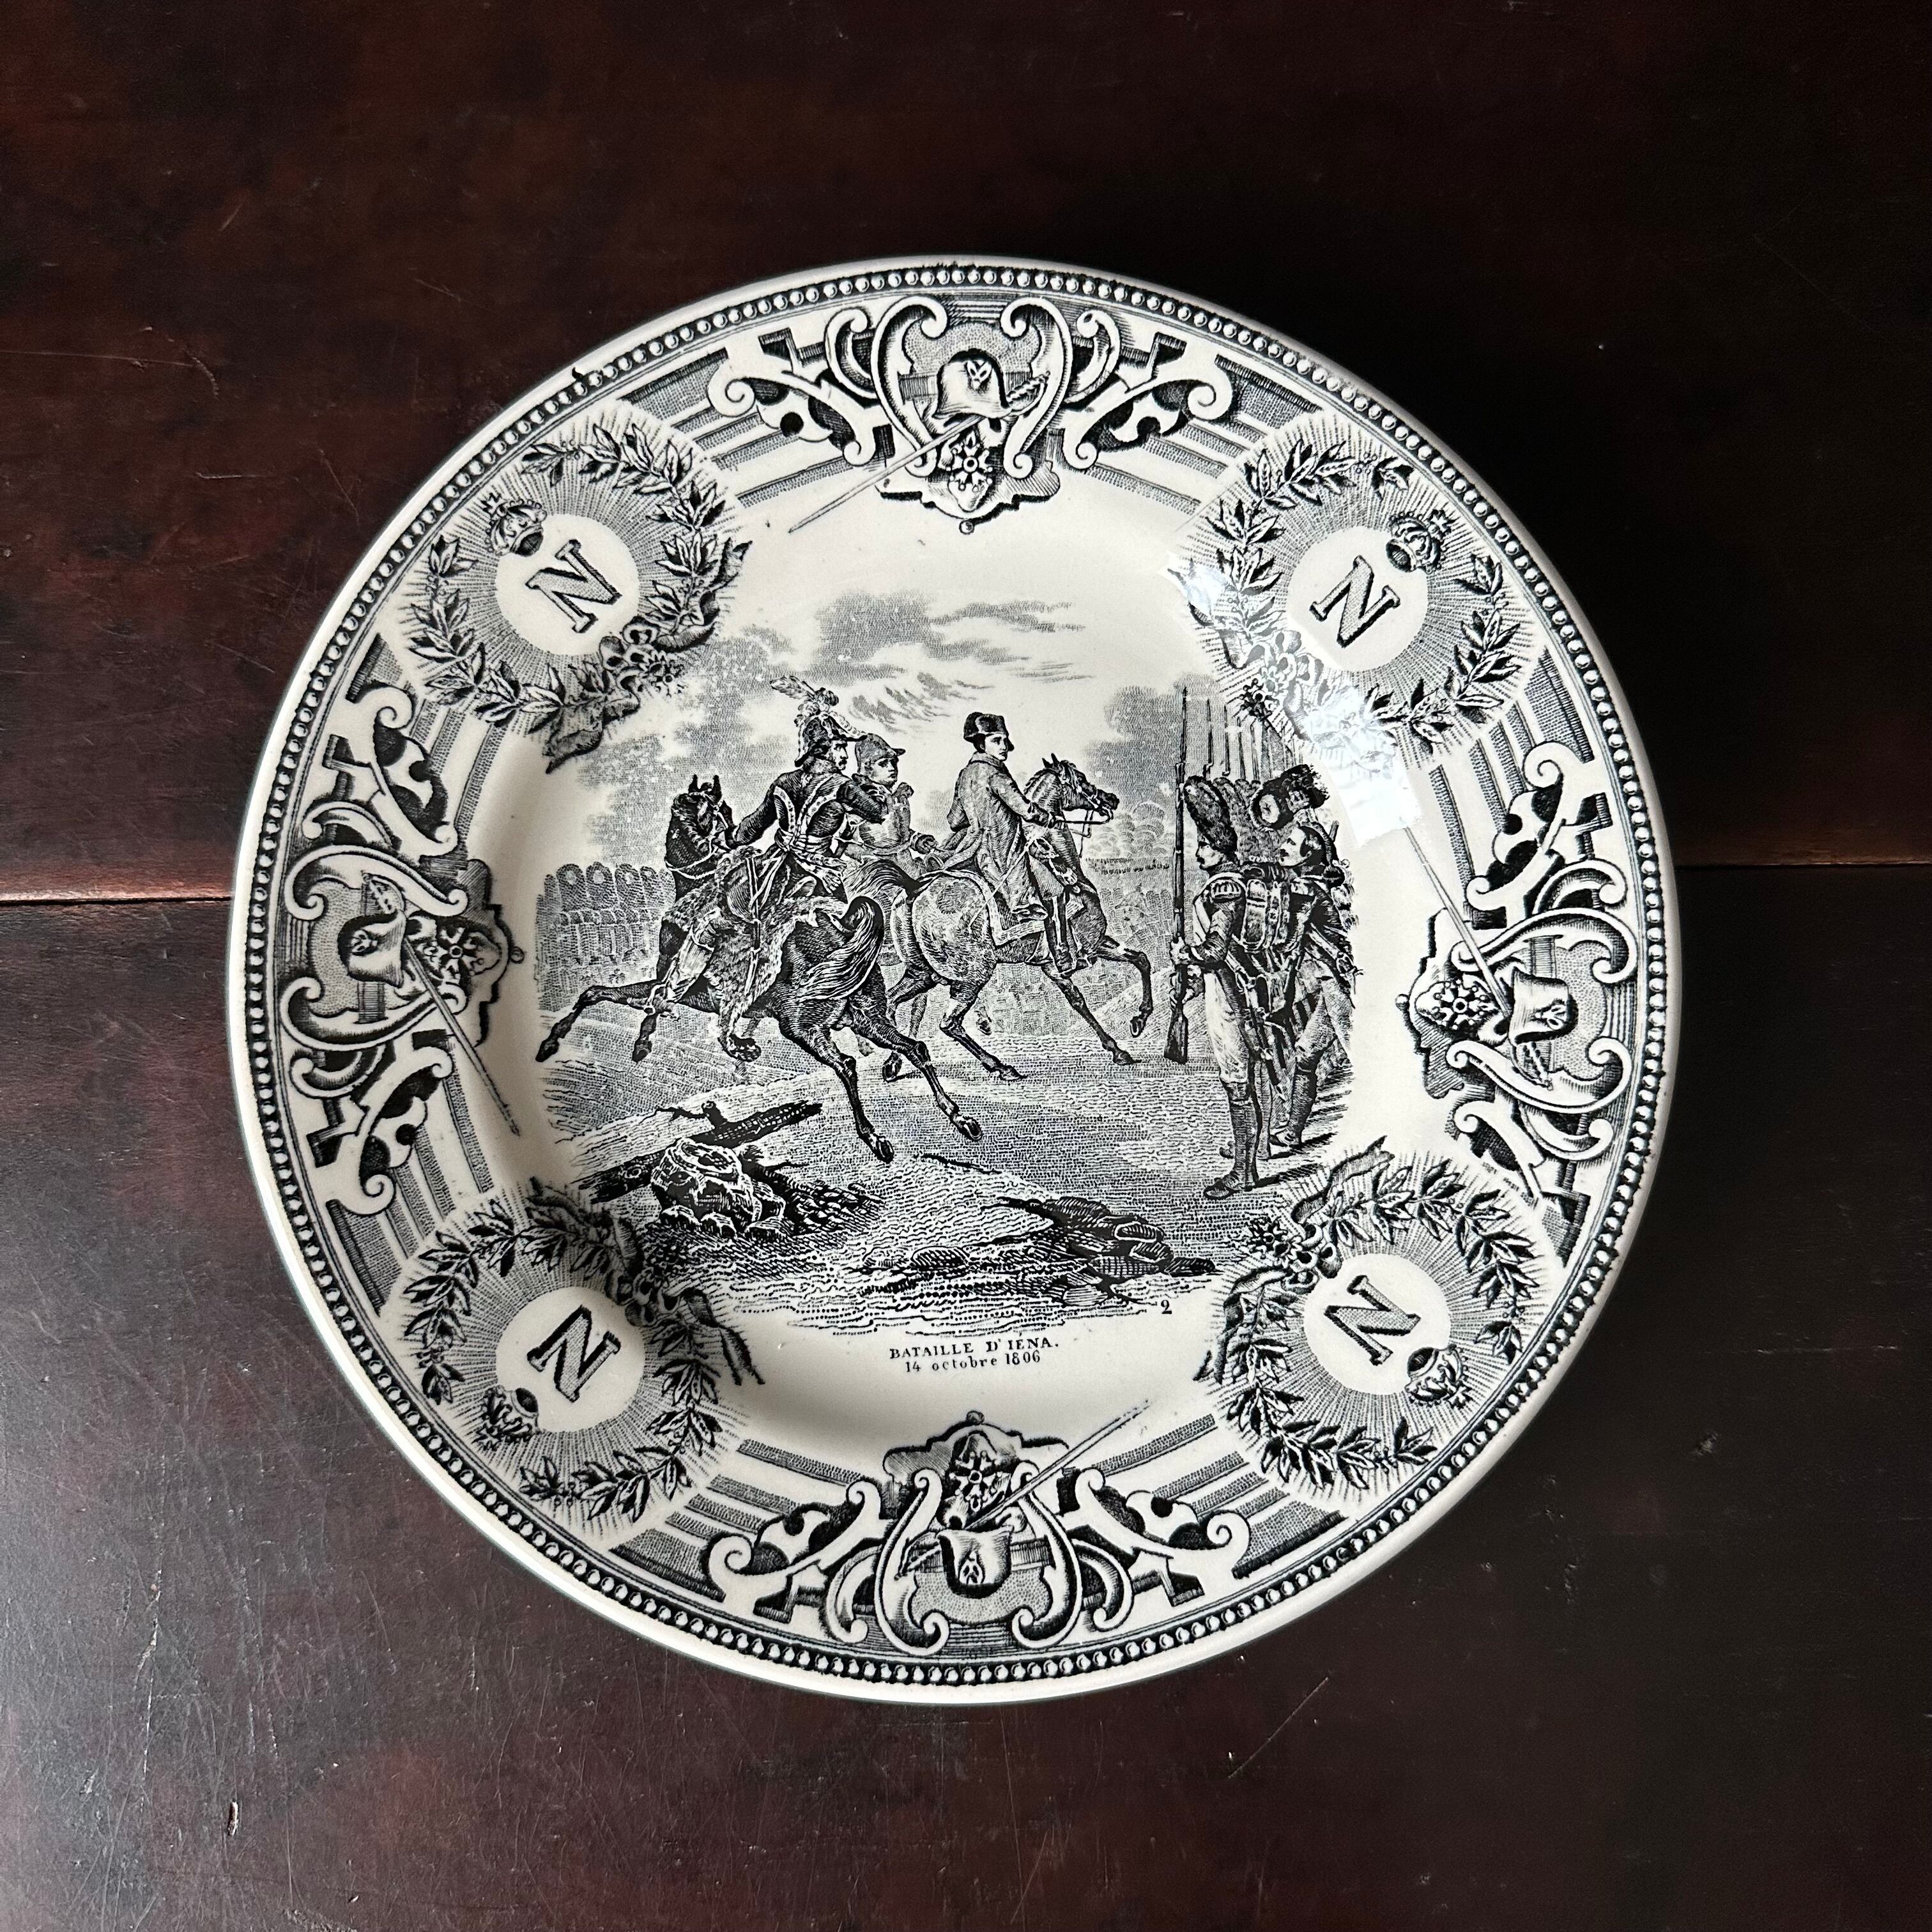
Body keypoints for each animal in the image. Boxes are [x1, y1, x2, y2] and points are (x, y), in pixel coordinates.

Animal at [534, 776, 980, 1164]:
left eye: (684, 812)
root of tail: (844, 931)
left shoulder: (684, 985)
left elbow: (612, 994)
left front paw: (567, 1042)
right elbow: (608, 995)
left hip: (802, 1027)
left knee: (848, 1066)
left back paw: (874, 1137)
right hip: (864, 1017)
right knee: (914, 1049)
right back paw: (961, 1119)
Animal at [881, 756, 1155, 1083]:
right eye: (1080, 779)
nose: (1111, 799)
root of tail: (913, 890)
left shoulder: (1053, 964)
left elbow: (1094, 990)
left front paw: (1122, 1042)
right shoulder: (1093, 942)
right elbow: (1134, 964)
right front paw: (1135, 1025)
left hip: (922, 973)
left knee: (892, 1002)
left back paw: (893, 1062)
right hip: (972, 976)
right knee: (949, 1023)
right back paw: (1000, 1066)